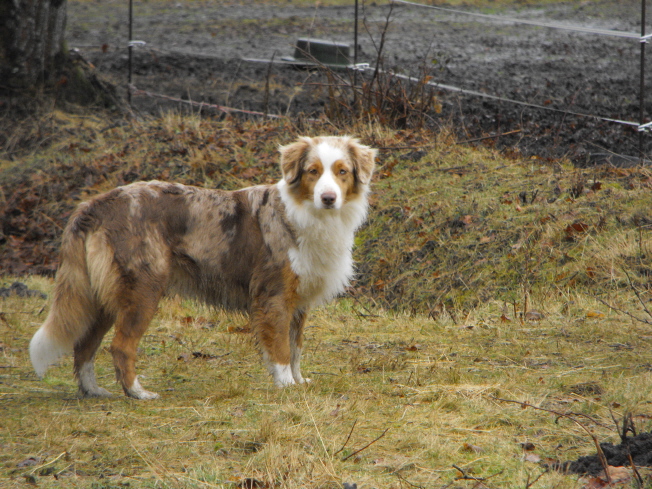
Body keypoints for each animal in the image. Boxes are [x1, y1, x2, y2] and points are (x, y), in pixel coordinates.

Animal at [29, 135, 376, 398]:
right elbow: (279, 349)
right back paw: (137, 393)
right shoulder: (273, 298)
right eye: (313, 172)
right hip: (142, 291)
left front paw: (299, 381)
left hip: (103, 297)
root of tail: (97, 202)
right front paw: (287, 386)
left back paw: (93, 391)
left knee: (84, 345)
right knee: (120, 346)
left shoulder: (298, 302)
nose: (328, 197)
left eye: (342, 171)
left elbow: (295, 349)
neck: (308, 216)